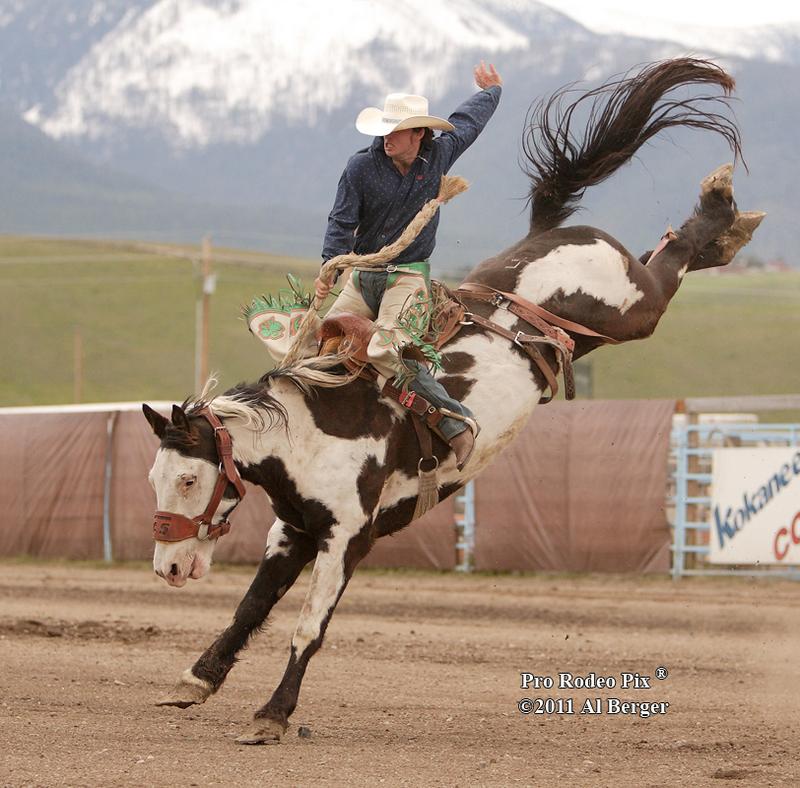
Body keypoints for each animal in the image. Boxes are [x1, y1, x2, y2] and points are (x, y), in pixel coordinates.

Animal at [143, 58, 764, 744]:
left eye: (189, 481)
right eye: (155, 479)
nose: (167, 569)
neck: (311, 429)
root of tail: (548, 235)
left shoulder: (347, 538)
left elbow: (308, 627)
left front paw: (272, 715)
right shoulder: (295, 529)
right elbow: (252, 606)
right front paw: (196, 679)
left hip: (633, 306)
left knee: (671, 261)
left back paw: (720, 208)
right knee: (666, 256)